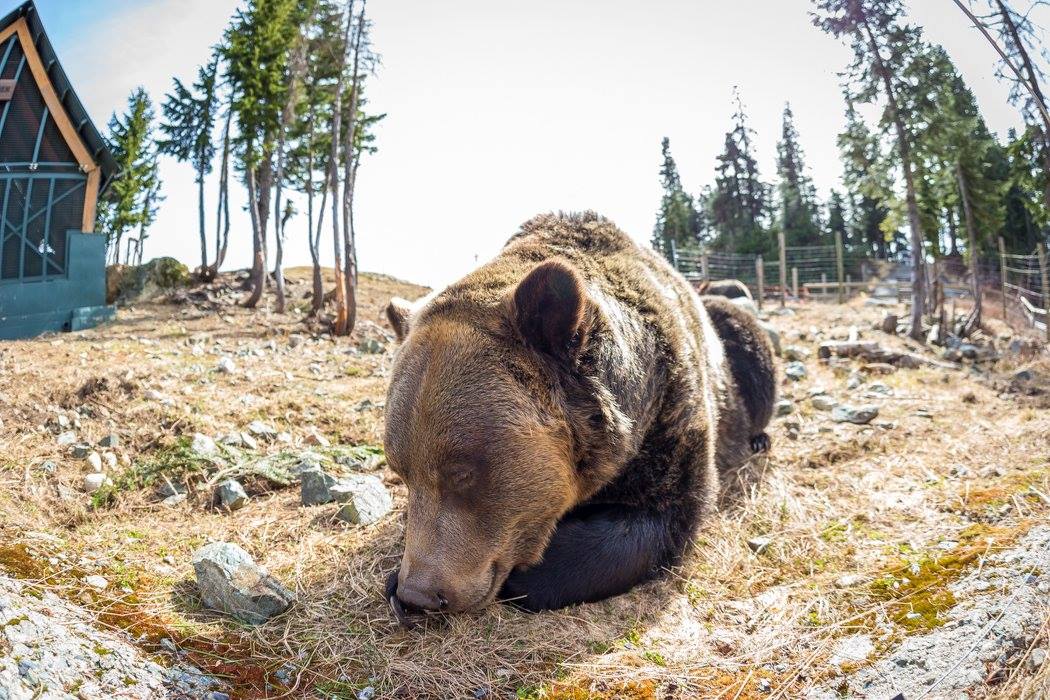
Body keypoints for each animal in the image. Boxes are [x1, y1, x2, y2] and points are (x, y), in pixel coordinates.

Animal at [382, 212, 776, 620]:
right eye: (401, 471)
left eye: (461, 474)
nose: (419, 595)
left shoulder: (671, 420)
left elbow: (662, 517)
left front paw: (529, 573)